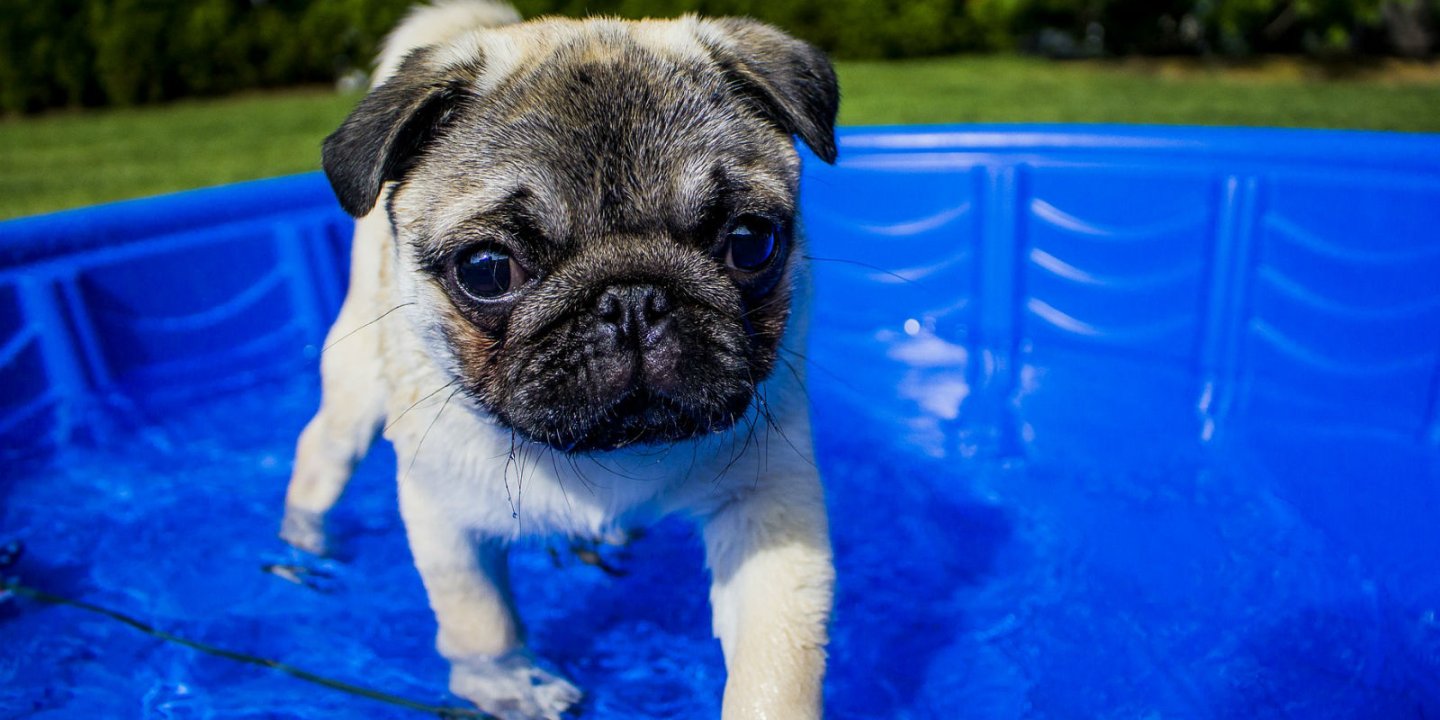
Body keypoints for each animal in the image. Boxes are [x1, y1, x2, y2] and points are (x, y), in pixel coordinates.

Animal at [280, 2, 840, 717]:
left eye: (750, 242)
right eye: (487, 270)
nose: (632, 299)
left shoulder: (768, 507)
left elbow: (774, 664)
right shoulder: (443, 515)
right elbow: (479, 619)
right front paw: (507, 682)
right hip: (354, 389)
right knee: (319, 453)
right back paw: (303, 544)